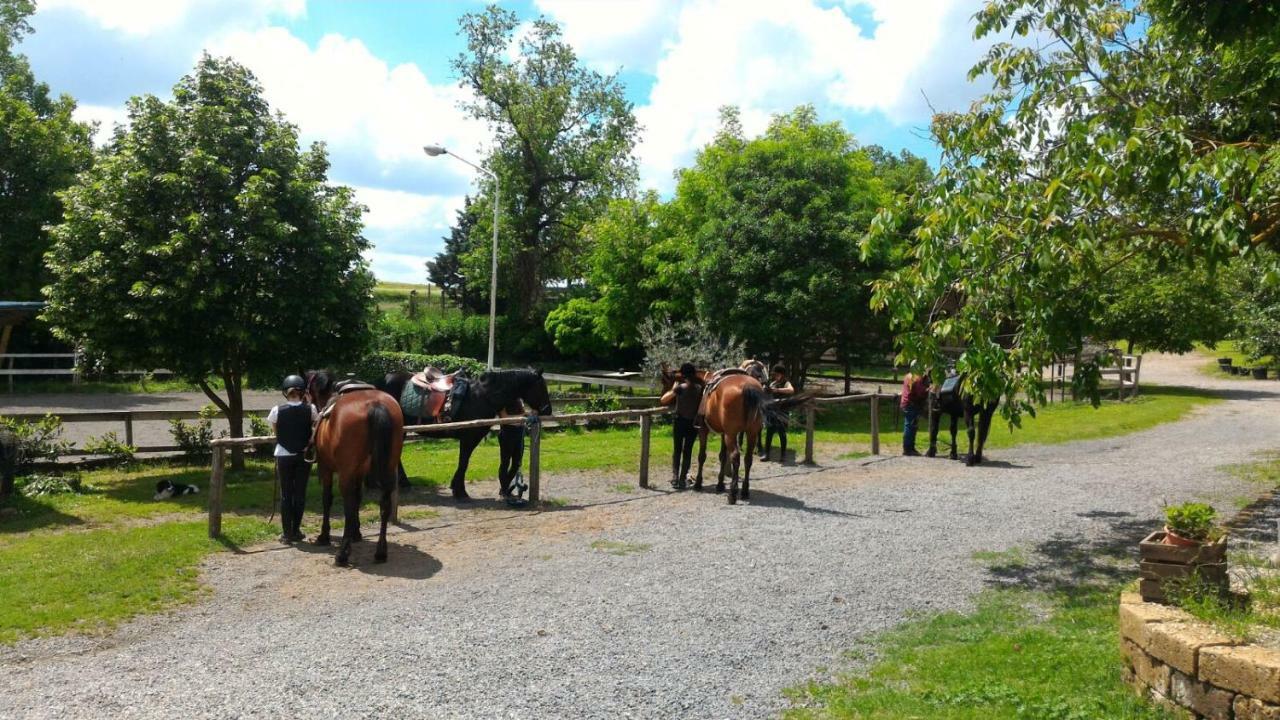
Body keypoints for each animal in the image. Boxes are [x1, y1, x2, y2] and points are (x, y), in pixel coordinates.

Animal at [305, 368, 401, 566]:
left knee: (347, 505)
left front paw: (324, 535)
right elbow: (358, 498)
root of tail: (375, 405)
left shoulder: (326, 469)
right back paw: (381, 552)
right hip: (388, 468)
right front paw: (357, 533)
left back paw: (342, 554)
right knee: (384, 505)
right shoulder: (359, 472)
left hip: (345, 474)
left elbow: (328, 499)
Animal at [373, 363, 547, 499]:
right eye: (541, 387)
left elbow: (463, 462)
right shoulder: (469, 438)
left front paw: (455, 487)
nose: (548, 410)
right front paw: (460, 491)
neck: (481, 396)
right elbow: (464, 462)